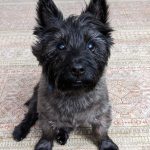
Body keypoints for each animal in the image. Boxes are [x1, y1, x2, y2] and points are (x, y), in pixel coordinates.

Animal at [12, 0, 118, 149]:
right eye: (60, 46)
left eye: (91, 46)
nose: (78, 69)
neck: (74, 93)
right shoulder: (46, 114)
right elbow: (47, 133)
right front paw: (44, 144)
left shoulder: (102, 113)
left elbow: (101, 131)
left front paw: (107, 144)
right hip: (35, 102)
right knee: (30, 116)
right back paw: (21, 130)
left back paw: (62, 134)